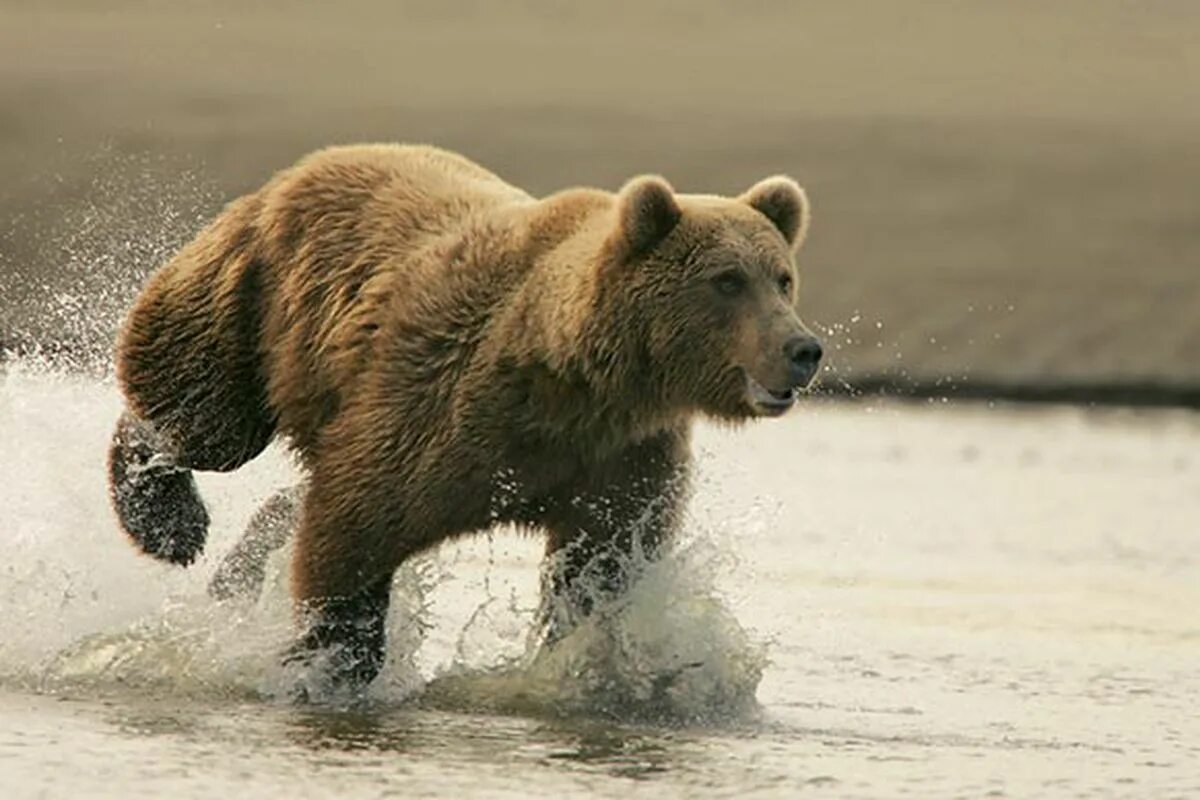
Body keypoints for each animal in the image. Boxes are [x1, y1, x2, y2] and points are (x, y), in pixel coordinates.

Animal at [108, 143, 820, 695]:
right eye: (728, 280)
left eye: (782, 277)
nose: (803, 349)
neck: (571, 377)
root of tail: (307, 165)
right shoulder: (440, 405)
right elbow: (354, 528)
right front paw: (329, 665)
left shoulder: (621, 455)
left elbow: (600, 567)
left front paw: (611, 665)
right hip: (258, 299)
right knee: (202, 413)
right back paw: (168, 521)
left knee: (285, 486)